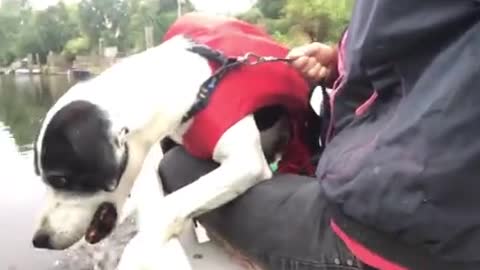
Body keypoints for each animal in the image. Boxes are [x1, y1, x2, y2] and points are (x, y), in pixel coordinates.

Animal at [31, 13, 322, 270]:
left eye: (60, 179)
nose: (39, 240)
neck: (191, 87)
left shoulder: (245, 162)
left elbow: (168, 207)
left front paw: (136, 254)